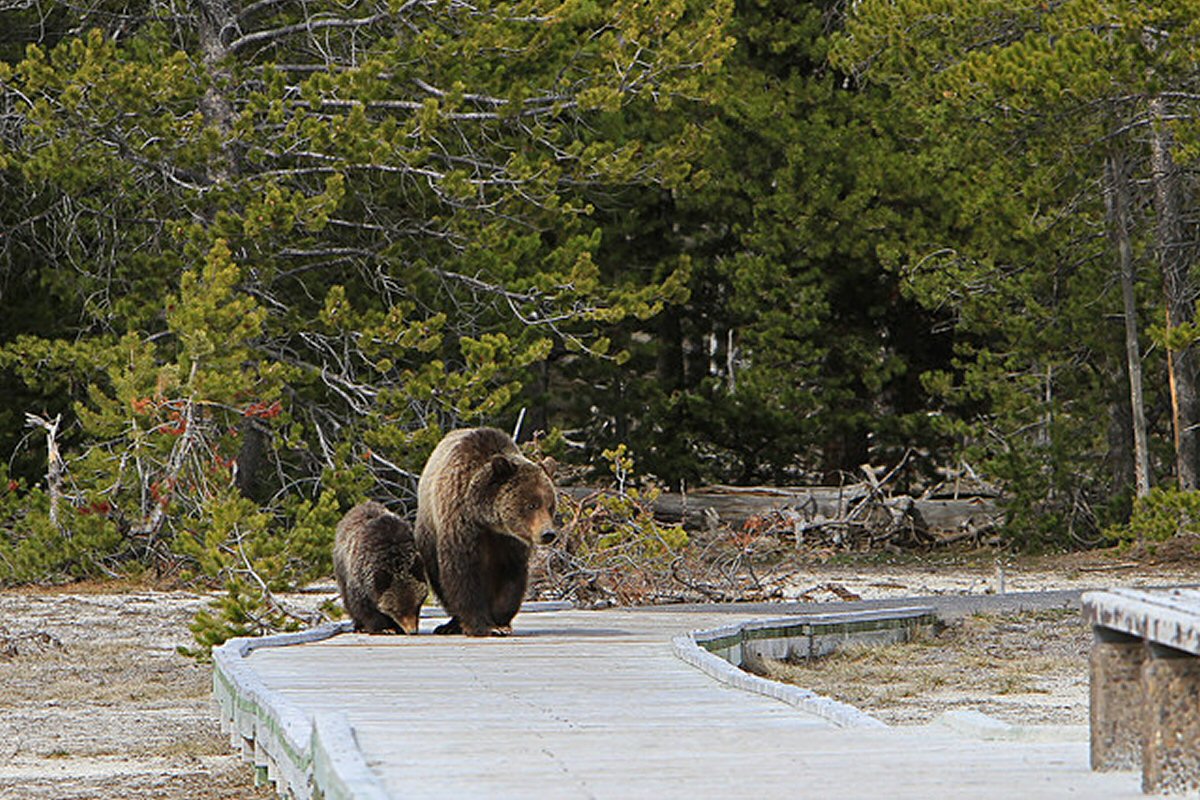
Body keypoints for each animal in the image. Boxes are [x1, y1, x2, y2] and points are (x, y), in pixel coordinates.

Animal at [336, 501, 429, 638]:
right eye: (397, 611)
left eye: (417, 605)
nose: (412, 631)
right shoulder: (359, 579)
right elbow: (363, 607)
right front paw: (384, 628)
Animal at [417, 429, 556, 633]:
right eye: (532, 505)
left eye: (550, 506)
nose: (548, 533)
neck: (487, 521)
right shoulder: (461, 525)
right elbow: (463, 573)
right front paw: (483, 625)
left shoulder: (509, 541)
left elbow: (511, 576)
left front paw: (500, 620)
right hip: (428, 532)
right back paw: (450, 624)